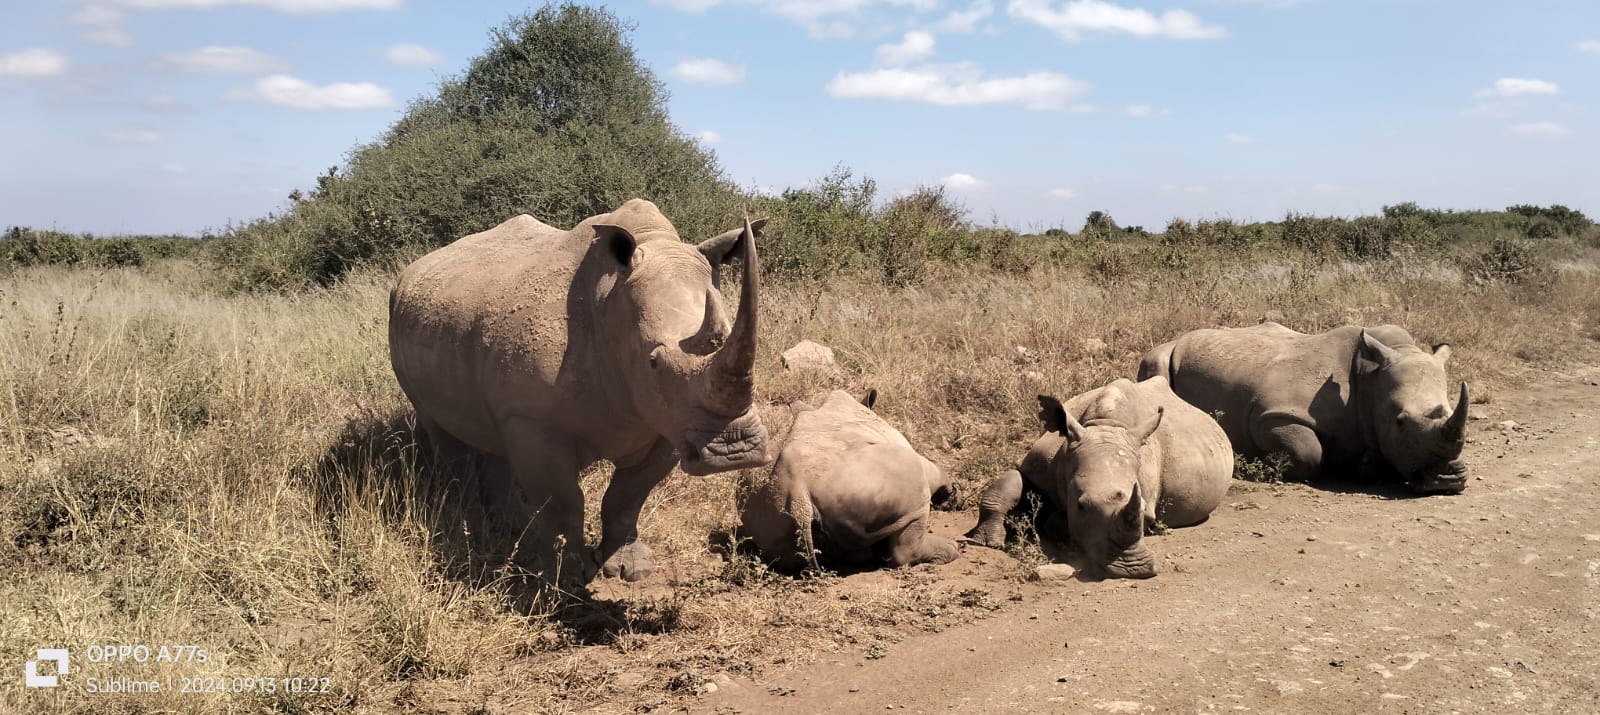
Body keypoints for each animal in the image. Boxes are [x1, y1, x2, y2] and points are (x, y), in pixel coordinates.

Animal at [387, 198, 768, 585]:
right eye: (653, 362)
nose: (735, 451)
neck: (611, 302)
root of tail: (409, 273)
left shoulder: (670, 421)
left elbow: (627, 497)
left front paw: (628, 568)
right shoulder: (534, 420)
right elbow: (564, 502)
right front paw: (567, 576)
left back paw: (511, 529)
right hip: (399, 314)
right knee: (440, 429)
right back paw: (474, 528)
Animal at [739, 388, 960, 572]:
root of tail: (797, 491)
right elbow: (934, 469)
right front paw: (950, 493)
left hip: (768, 511)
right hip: (872, 480)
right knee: (915, 506)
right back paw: (951, 550)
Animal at [960, 377, 1235, 579]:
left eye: (1145, 515)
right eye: (1081, 506)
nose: (1135, 570)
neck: (1105, 425)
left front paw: (1053, 523)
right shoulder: (1037, 464)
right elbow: (1005, 486)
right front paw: (989, 541)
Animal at [1139, 323, 1465, 492]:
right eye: (1400, 421)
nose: (1447, 480)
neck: (1370, 380)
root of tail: (1183, 336)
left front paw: (1367, 465)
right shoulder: (1270, 414)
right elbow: (1310, 453)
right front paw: (1263, 465)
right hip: (1160, 355)